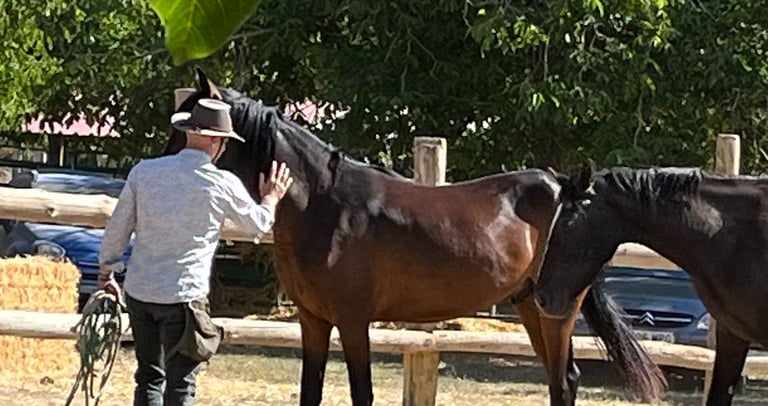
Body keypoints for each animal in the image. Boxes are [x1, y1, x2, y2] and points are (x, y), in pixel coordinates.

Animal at [161, 68, 667, 406]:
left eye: (185, 134)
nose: (156, 173)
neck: (324, 206)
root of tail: (565, 188)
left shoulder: (353, 320)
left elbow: (362, 394)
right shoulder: (313, 319)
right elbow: (311, 392)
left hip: (557, 312)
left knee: (563, 381)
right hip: (530, 304)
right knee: (563, 377)